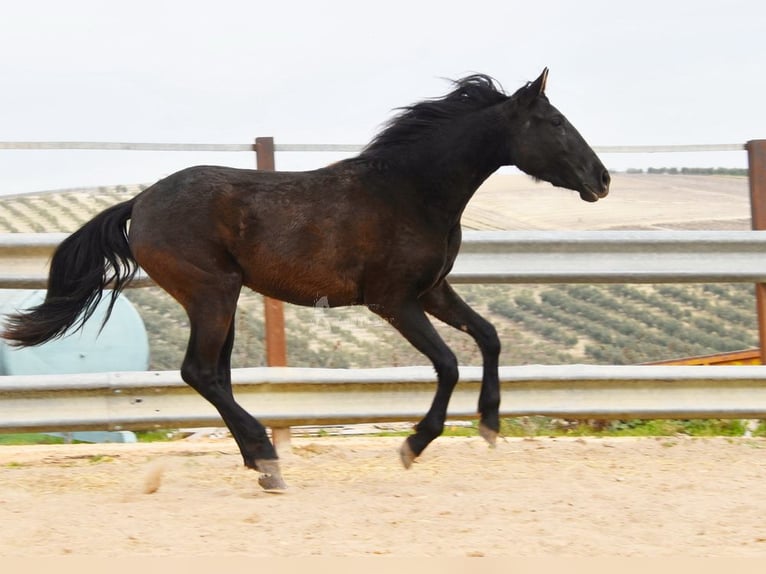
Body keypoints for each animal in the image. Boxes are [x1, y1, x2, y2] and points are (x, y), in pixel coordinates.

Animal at [1, 67, 612, 490]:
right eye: (555, 123)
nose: (602, 180)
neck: (412, 190)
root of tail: (140, 204)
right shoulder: (392, 300)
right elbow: (447, 362)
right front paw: (413, 444)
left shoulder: (433, 290)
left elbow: (488, 337)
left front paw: (490, 424)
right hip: (211, 293)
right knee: (200, 371)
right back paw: (268, 461)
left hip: (222, 298)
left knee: (216, 375)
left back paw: (259, 462)